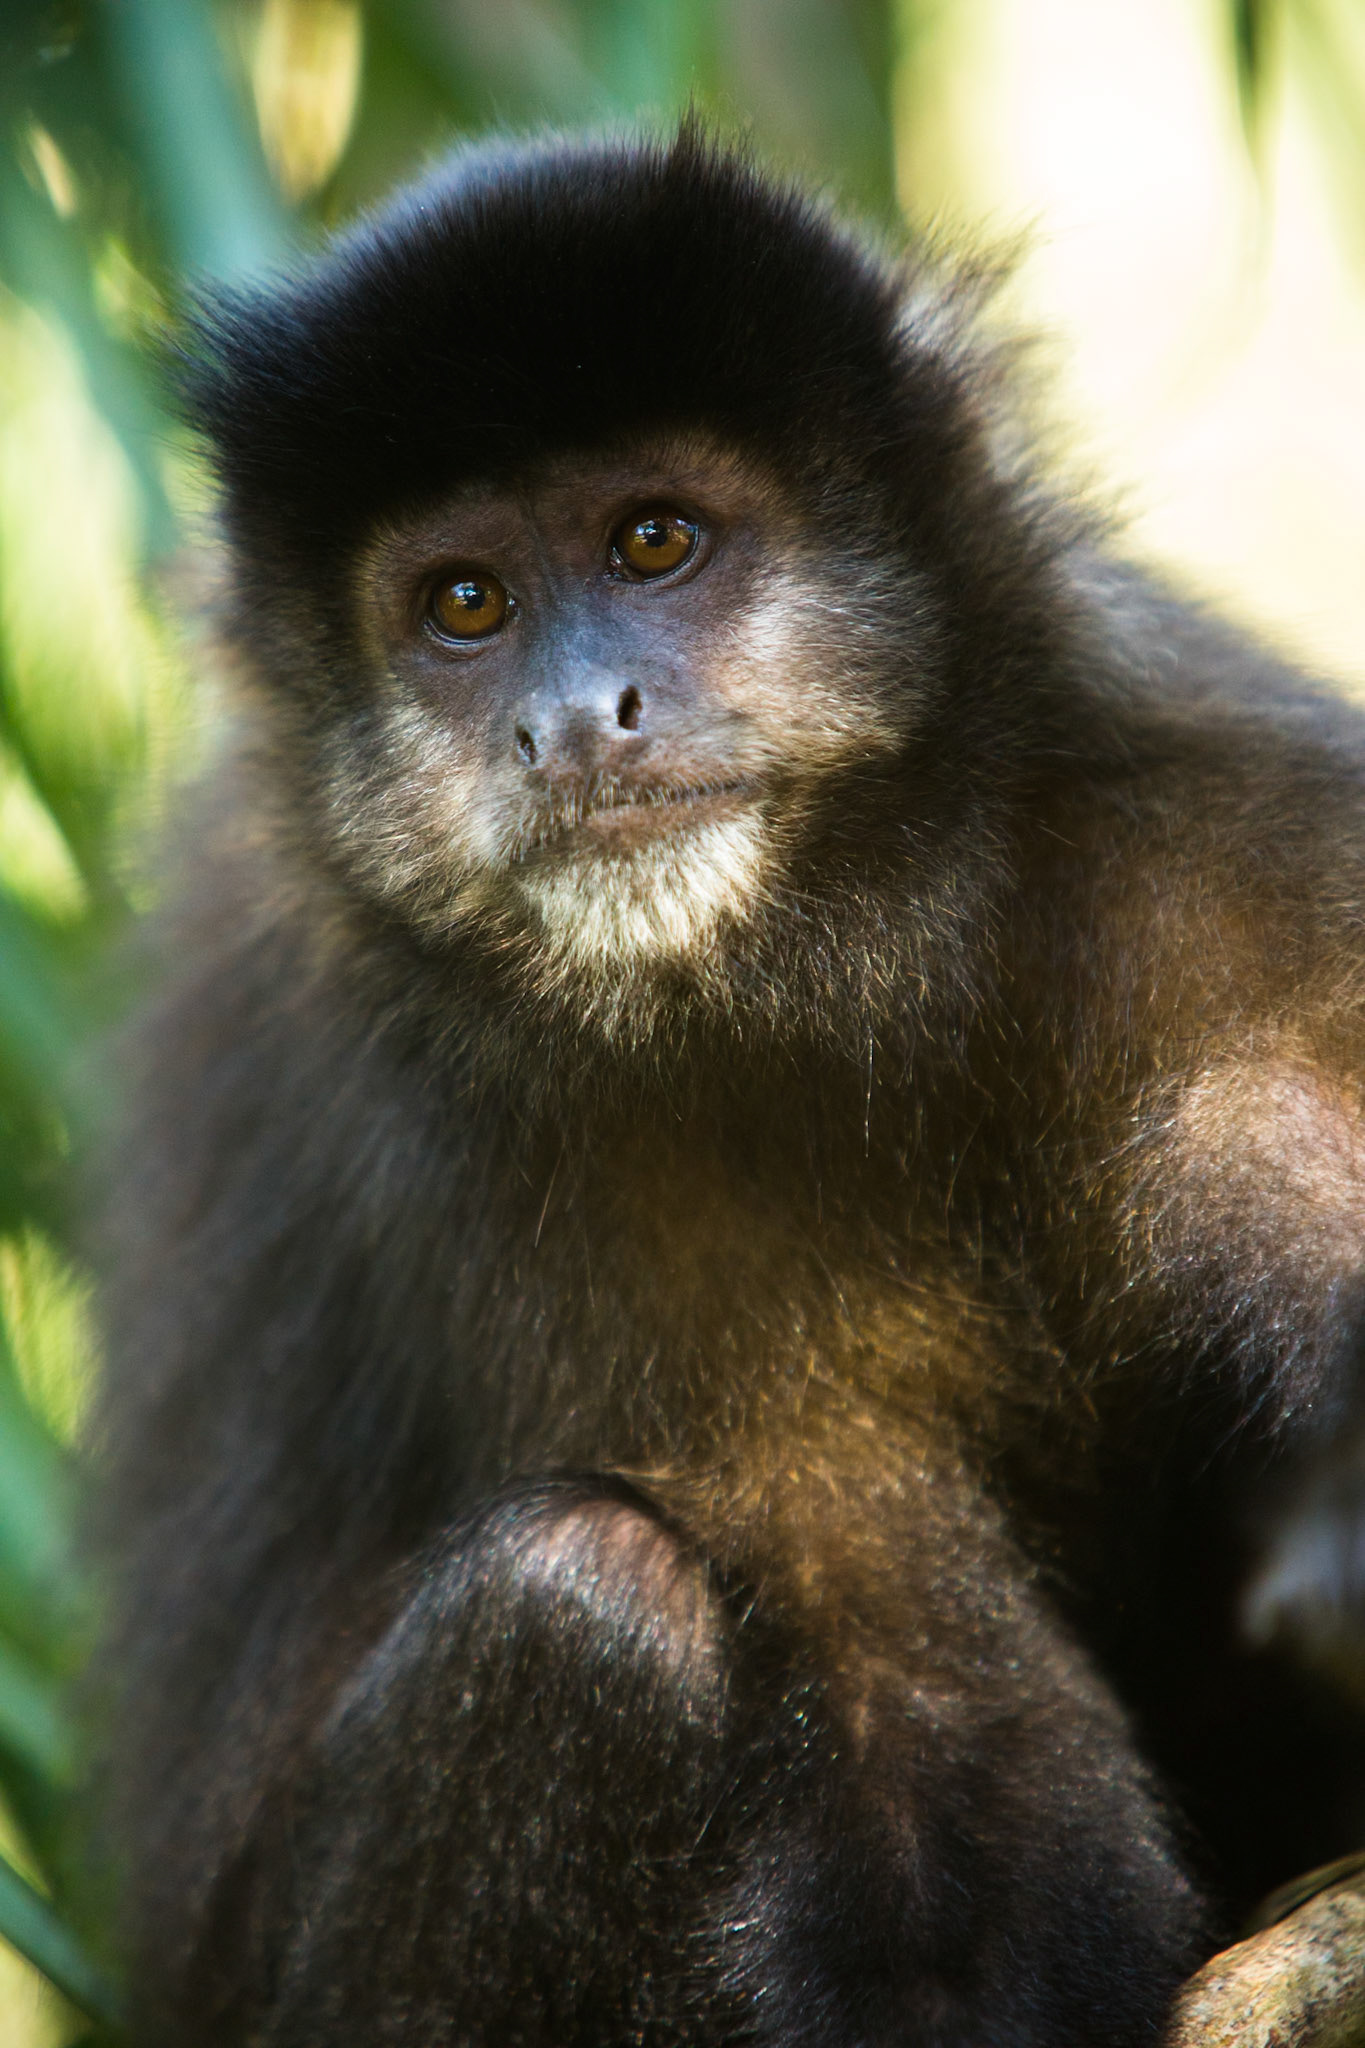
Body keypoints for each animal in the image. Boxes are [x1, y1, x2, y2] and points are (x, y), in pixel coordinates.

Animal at [93, 124, 1365, 2047]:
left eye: (653, 541)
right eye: (464, 603)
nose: (570, 717)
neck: (844, 971)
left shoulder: (1230, 866)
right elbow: (892, 1684)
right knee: (581, 1600)